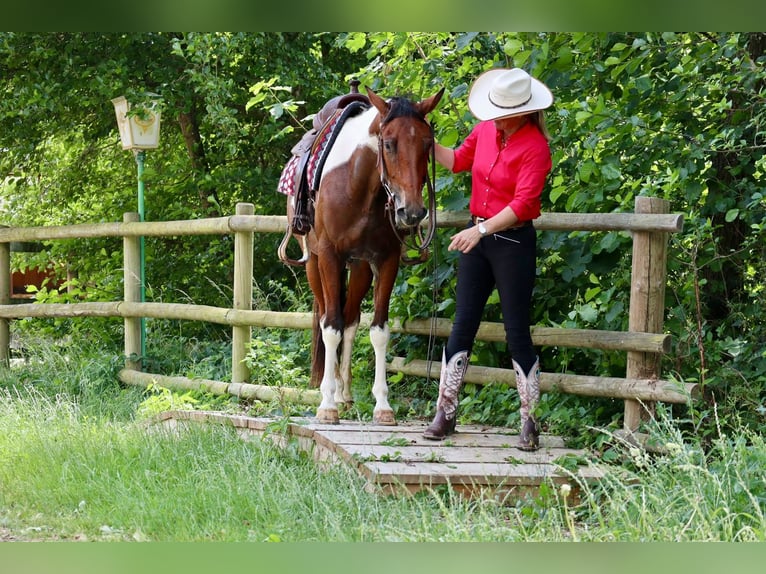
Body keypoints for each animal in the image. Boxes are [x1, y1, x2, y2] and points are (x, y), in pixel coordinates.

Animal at [294, 86, 443, 425]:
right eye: (388, 143)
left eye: (427, 143)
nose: (412, 211)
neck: (358, 185)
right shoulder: (329, 257)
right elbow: (330, 327)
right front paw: (326, 405)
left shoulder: (386, 260)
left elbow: (378, 331)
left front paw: (382, 406)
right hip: (314, 265)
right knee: (328, 317)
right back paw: (331, 392)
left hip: (360, 267)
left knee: (350, 320)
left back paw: (344, 393)